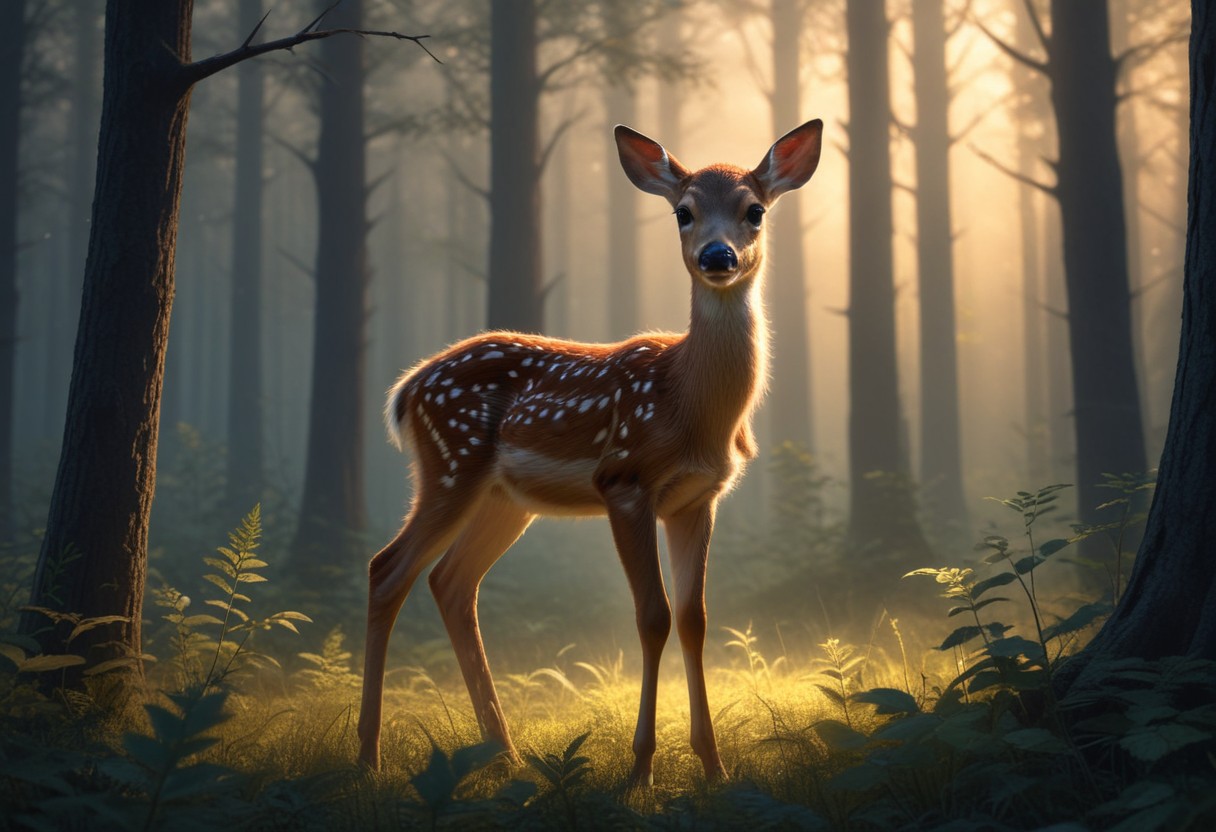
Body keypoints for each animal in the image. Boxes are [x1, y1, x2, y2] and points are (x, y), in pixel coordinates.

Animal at [358, 119, 824, 785]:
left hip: (506, 499)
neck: (689, 404)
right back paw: (368, 756)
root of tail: (407, 389)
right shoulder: (624, 480)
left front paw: (713, 766)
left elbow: (695, 619)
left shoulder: (697, 499)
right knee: (388, 568)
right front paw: (640, 768)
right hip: (451, 463)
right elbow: (652, 616)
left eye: (754, 210)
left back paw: (506, 754)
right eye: (683, 212)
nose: (718, 256)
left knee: (451, 581)